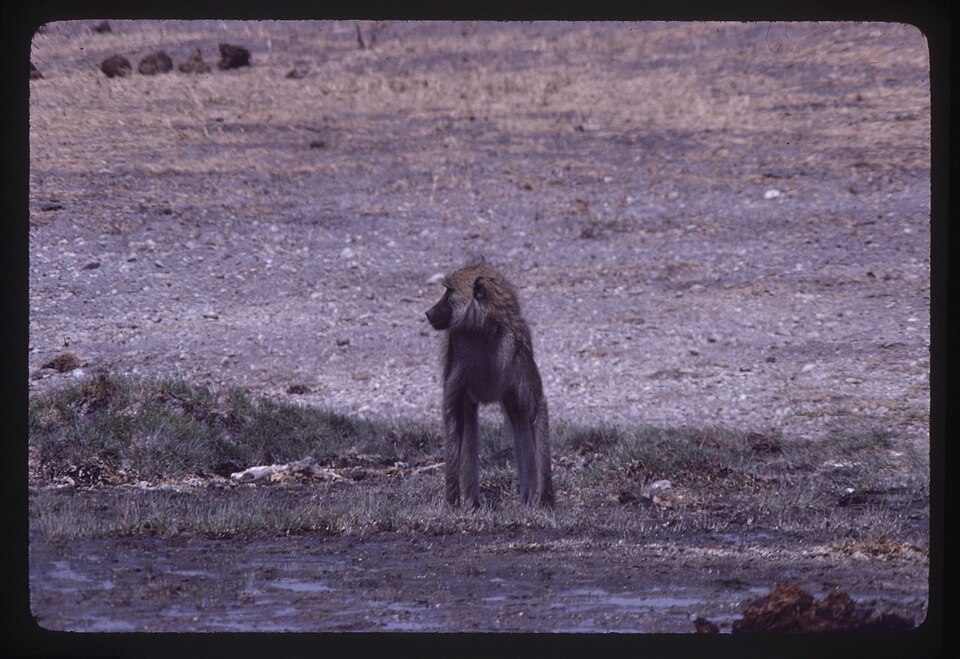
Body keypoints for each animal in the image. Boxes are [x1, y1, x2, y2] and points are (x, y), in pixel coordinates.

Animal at [425, 259, 554, 508]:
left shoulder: (517, 347)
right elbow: (452, 410)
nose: (428, 312)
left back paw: (527, 500)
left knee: (520, 420)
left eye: (448, 291)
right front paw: (451, 502)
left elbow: (536, 407)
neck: (483, 329)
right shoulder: (458, 349)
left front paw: (546, 500)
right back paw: (473, 503)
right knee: (470, 422)